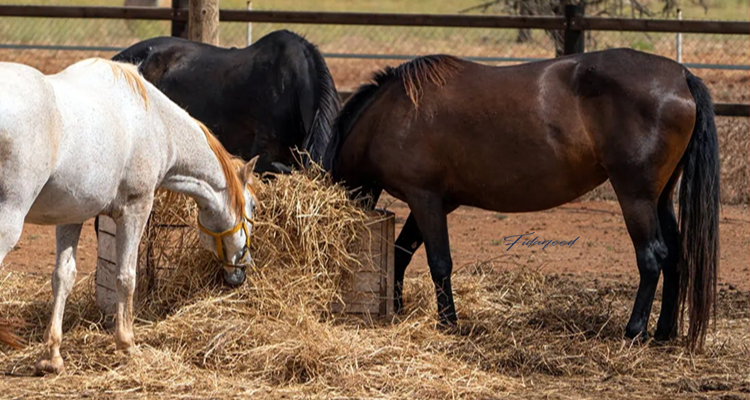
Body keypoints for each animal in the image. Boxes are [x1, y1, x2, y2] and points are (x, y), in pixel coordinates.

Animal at [0, 58, 259, 374]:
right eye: (253, 206)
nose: (241, 271)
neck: (157, 123)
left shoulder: (72, 215)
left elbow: (63, 276)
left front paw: (53, 356)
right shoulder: (136, 209)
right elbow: (126, 276)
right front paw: (127, 344)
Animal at [323, 48, 719, 351]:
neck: (392, 113)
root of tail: (682, 76)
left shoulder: (425, 199)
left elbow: (438, 262)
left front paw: (448, 322)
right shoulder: (435, 202)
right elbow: (403, 253)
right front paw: (399, 307)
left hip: (635, 196)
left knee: (652, 257)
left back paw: (634, 331)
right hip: (660, 198)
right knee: (675, 257)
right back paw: (664, 332)